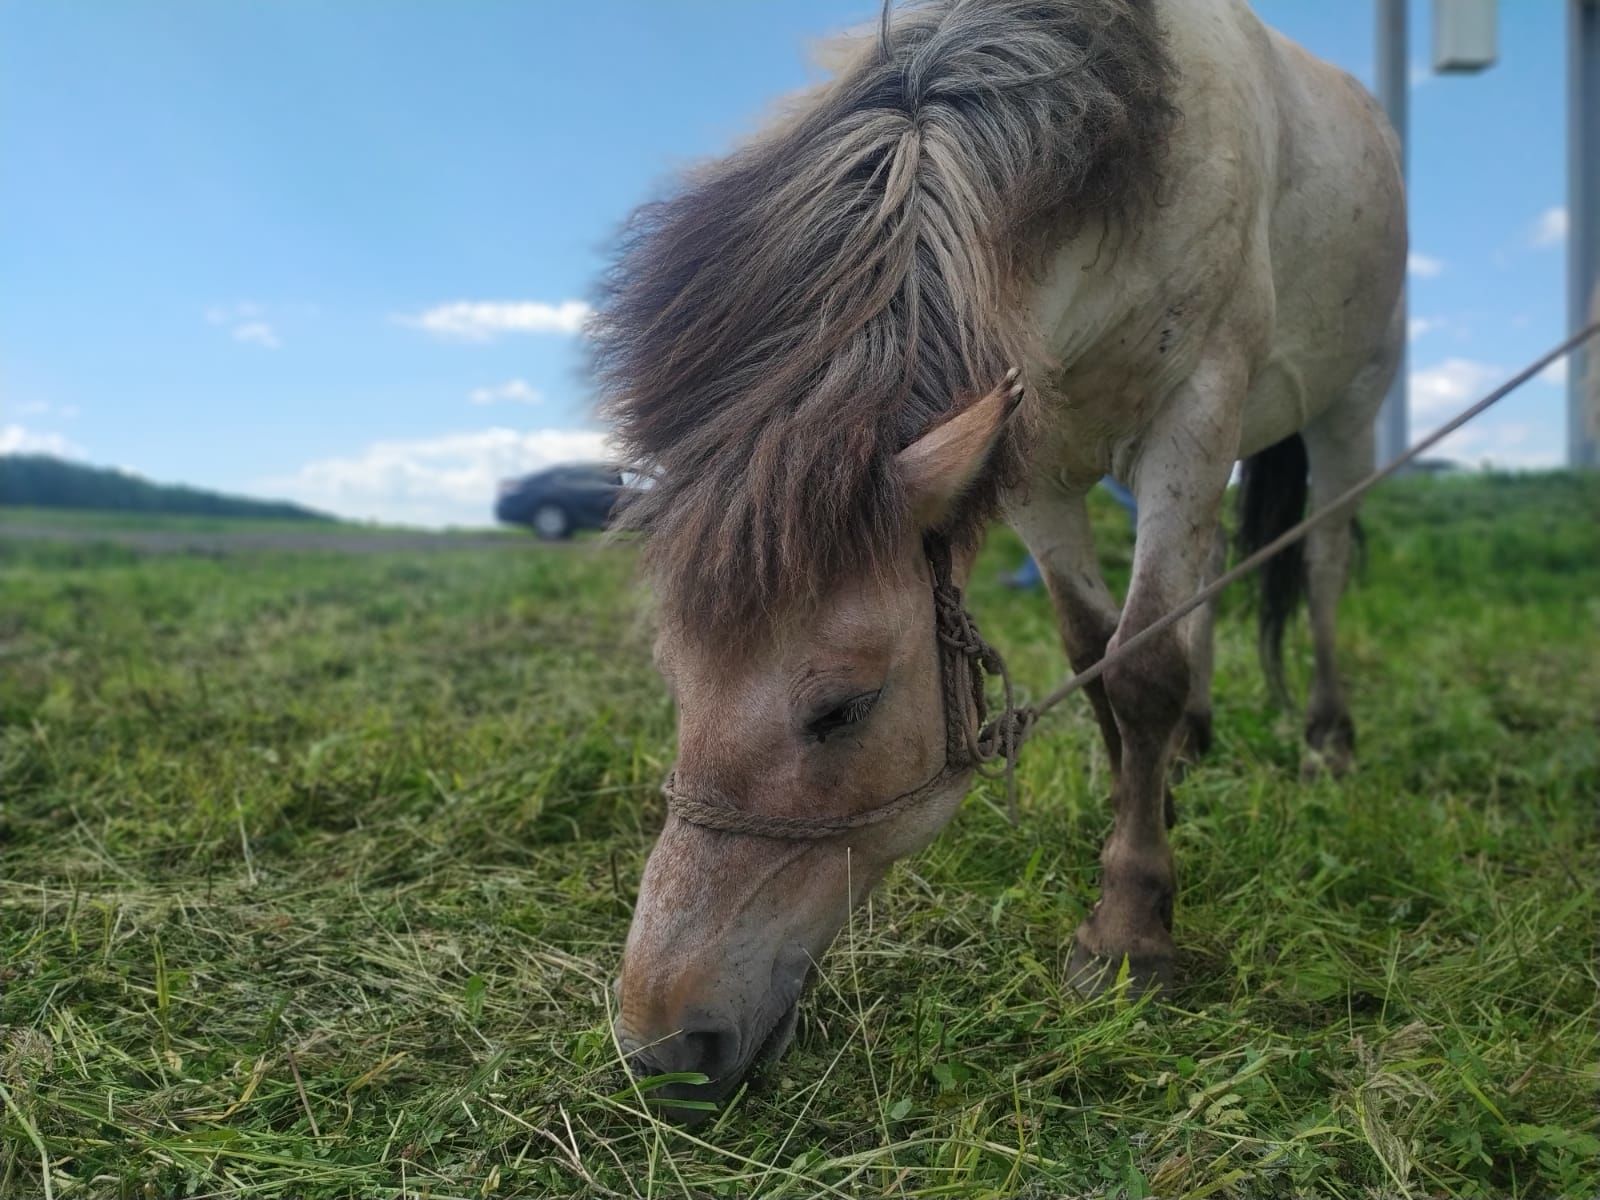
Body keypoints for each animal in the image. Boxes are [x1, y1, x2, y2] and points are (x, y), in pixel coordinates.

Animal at [588, 0, 1401, 1120]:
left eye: (840, 710)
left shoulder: (1194, 408)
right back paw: (1197, 744)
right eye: (676, 685)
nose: (664, 1041)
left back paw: (1328, 736)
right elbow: (1095, 653)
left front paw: (1129, 929)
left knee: (1316, 567)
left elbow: (1141, 669)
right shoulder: (1035, 467)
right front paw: (1146, 807)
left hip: (1345, 409)